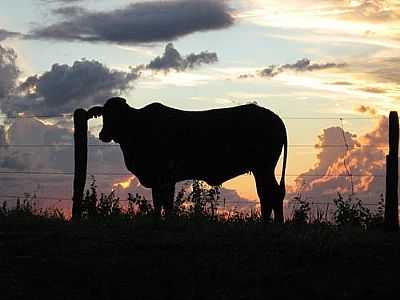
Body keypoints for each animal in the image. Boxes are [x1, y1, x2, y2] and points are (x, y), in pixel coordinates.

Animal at [88, 97, 288, 221]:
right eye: (104, 114)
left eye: (119, 115)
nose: (103, 134)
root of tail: (275, 117)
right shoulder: (160, 179)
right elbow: (159, 202)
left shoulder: (164, 176)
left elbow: (165, 202)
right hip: (261, 169)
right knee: (268, 194)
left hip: (264, 167)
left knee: (271, 194)